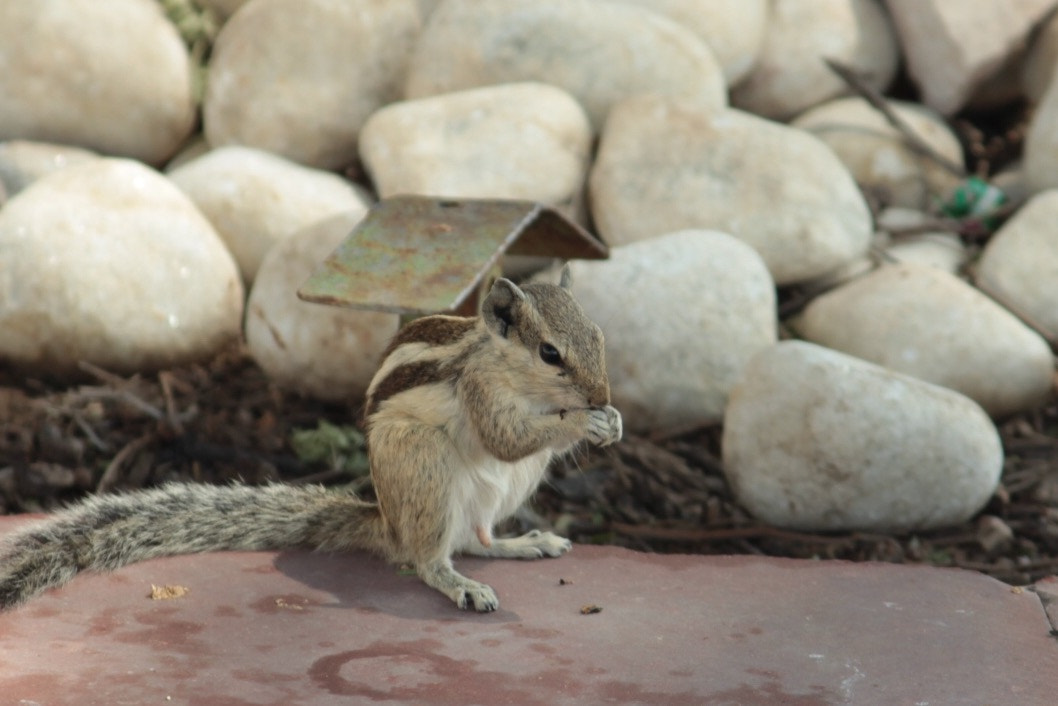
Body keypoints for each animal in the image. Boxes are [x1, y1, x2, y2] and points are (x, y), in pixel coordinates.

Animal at [0, 267, 622, 612]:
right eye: (550, 353)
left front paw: (611, 420)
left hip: (506, 489)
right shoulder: (480, 393)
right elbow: (506, 436)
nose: (601, 393)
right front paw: (581, 420)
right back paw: (459, 584)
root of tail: (388, 522)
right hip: (423, 465)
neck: (506, 367)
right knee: (428, 557)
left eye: (598, 335)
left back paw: (523, 543)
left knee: (476, 538)